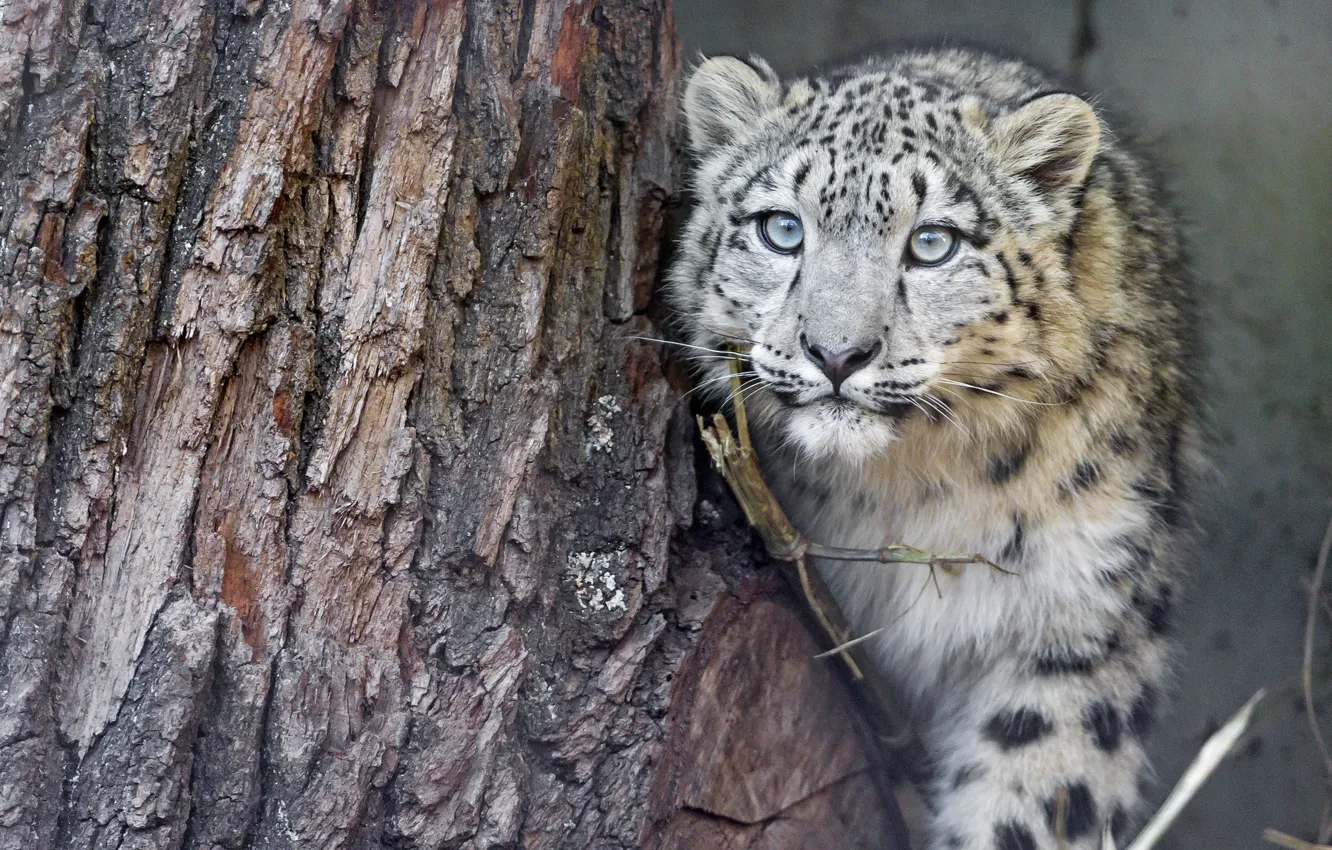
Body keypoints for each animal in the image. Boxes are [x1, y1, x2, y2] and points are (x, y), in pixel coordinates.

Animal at [666, 48, 1201, 850]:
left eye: (932, 243)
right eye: (782, 229)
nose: (837, 352)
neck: (909, 492)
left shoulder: (1079, 619)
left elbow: (1038, 788)